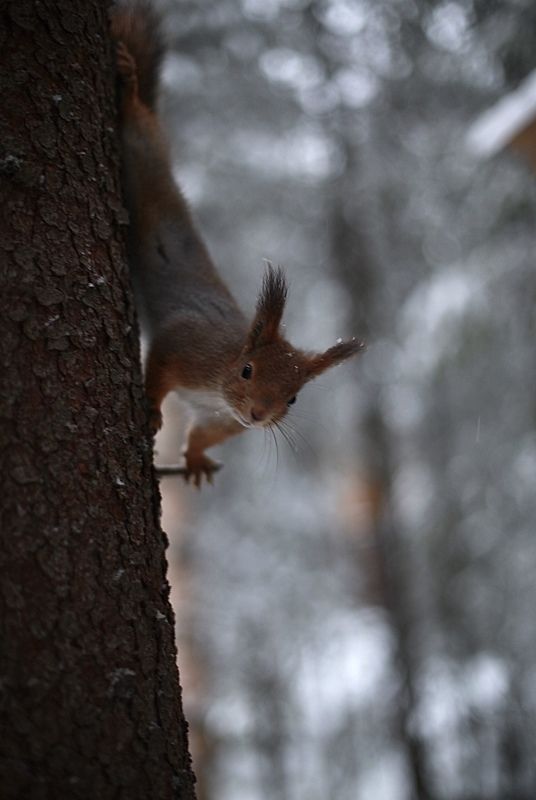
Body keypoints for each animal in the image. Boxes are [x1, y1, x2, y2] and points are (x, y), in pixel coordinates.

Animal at [111, 2, 364, 486]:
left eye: (294, 398)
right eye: (248, 370)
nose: (258, 414)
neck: (217, 385)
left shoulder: (219, 420)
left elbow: (202, 435)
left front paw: (193, 459)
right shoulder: (184, 345)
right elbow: (159, 368)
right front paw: (151, 409)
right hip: (141, 153)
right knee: (136, 121)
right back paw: (129, 83)